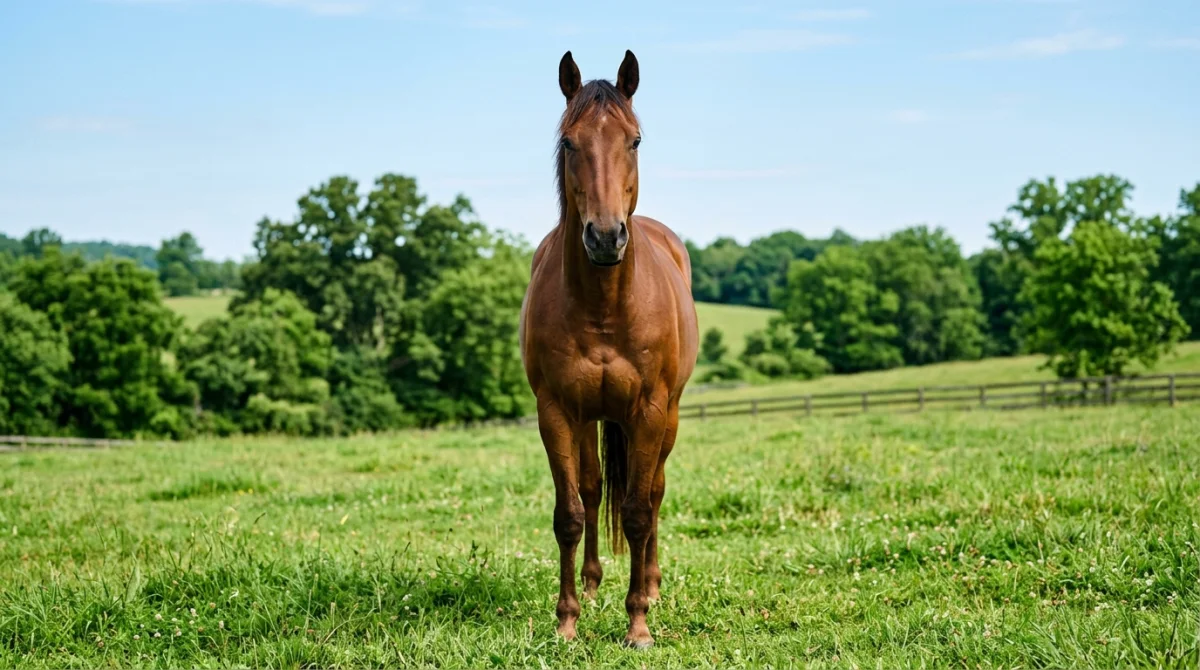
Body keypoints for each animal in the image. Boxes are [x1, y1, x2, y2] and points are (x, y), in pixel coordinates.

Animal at [518, 49, 699, 649]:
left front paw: (638, 623)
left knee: (654, 493)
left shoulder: (648, 411)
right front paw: (567, 619)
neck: (602, 306)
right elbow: (570, 513)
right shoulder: (556, 411)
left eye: (635, 140)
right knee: (596, 491)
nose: (603, 236)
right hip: (590, 418)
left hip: (668, 418)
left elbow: (639, 512)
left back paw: (653, 585)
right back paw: (594, 586)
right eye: (570, 142)